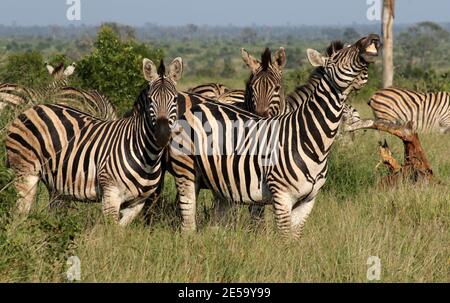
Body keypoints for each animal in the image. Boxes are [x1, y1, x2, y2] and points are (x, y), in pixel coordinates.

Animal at [5, 57, 183, 226]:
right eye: (150, 100)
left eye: (175, 100)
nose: (162, 134)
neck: (147, 156)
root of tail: (32, 109)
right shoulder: (111, 194)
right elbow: (111, 232)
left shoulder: (137, 203)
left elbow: (120, 231)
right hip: (25, 172)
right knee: (19, 213)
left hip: (53, 181)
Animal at [169, 33, 380, 238]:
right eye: (338, 57)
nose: (373, 38)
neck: (311, 140)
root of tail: (199, 106)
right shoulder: (281, 196)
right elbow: (283, 237)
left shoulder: (308, 200)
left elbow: (294, 238)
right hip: (186, 171)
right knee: (187, 221)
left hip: (221, 184)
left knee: (216, 223)